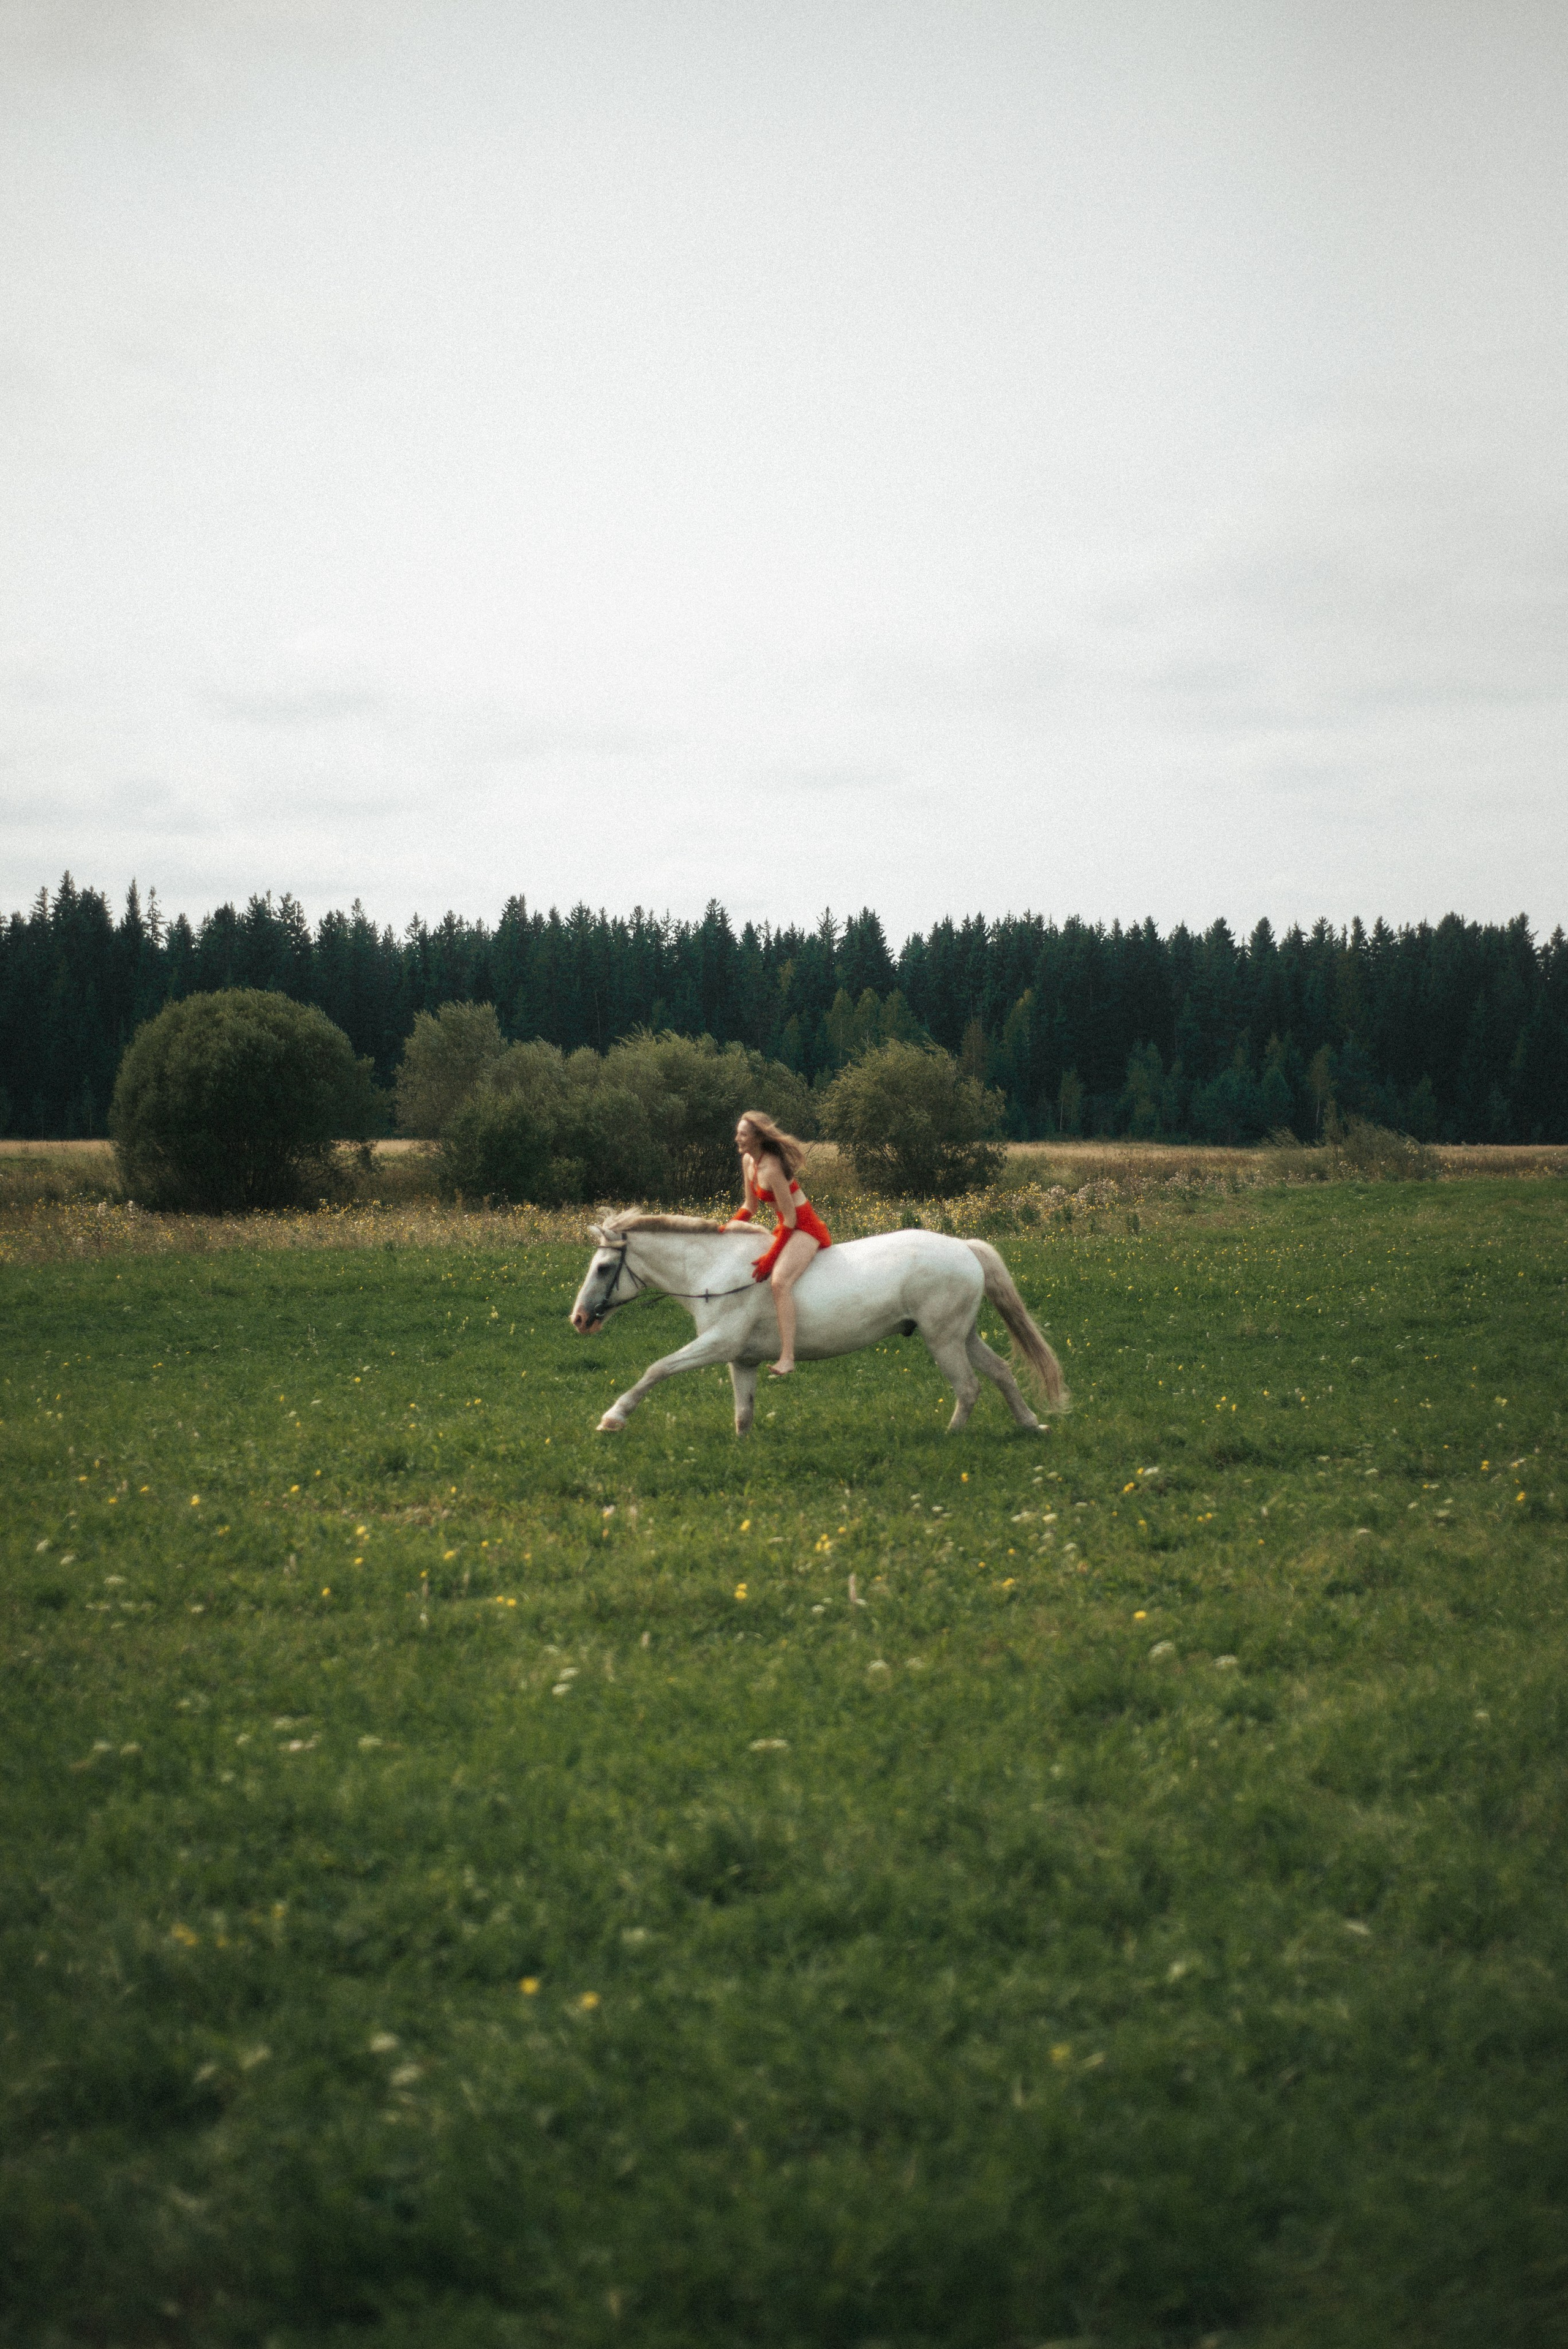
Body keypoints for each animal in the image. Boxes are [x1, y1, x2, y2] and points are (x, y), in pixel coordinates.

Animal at [568, 1210, 1070, 1435]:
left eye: (603, 1268)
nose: (579, 1319)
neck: (716, 1270)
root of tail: (964, 1247)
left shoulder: (718, 1343)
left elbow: (656, 1369)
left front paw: (613, 1417)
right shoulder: (741, 1359)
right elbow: (744, 1411)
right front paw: (743, 1444)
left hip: (942, 1338)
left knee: (968, 1387)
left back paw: (951, 1436)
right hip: (961, 1334)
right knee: (1001, 1371)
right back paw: (1031, 1425)